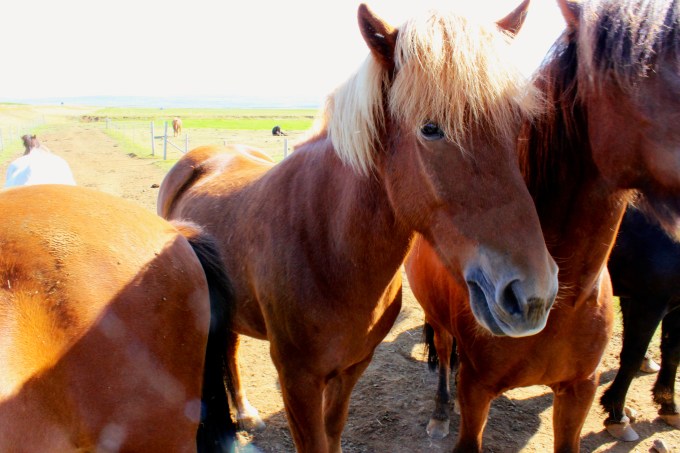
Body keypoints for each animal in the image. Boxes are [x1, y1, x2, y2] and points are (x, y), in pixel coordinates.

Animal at [157, 2, 560, 451]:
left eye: (519, 125)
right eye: (430, 128)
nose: (533, 297)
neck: (329, 247)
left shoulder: (352, 368)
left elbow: (333, 430)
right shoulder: (297, 382)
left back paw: (245, 411)